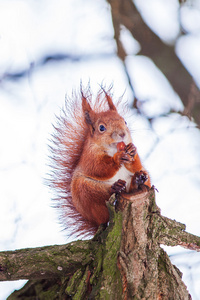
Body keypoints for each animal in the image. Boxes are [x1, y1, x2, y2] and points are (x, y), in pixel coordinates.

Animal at [49, 88, 151, 238]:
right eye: (101, 128)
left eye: (125, 122)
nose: (122, 134)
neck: (113, 149)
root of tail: (96, 224)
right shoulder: (89, 157)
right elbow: (98, 168)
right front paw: (117, 159)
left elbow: (136, 165)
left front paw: (133, 151)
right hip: (85, 191)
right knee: (104, 201)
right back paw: (116, 187)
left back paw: (138, 180)